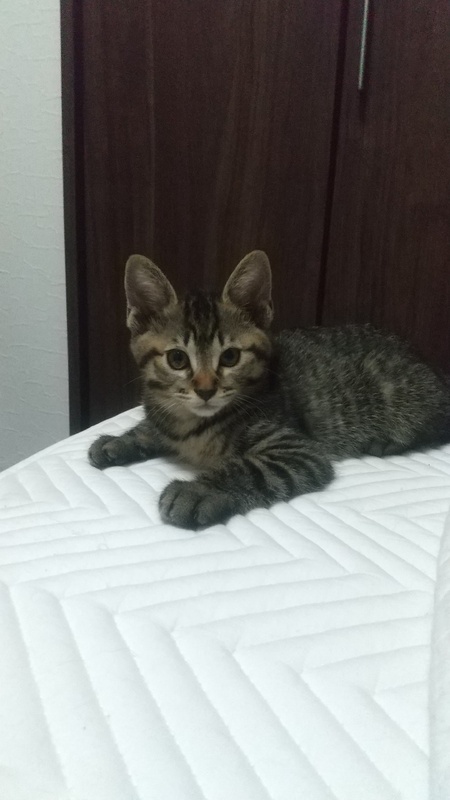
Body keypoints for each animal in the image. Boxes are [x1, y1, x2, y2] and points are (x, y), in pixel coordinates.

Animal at [89, 250, 450, 529]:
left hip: (402, 394)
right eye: (177, 359)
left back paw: (386, 442)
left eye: (230, 357)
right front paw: (119, 441)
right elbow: (152, 427)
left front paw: (197, 493)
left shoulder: (298, 449)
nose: (205, 390)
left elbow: (251, 468)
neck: (190, 425)